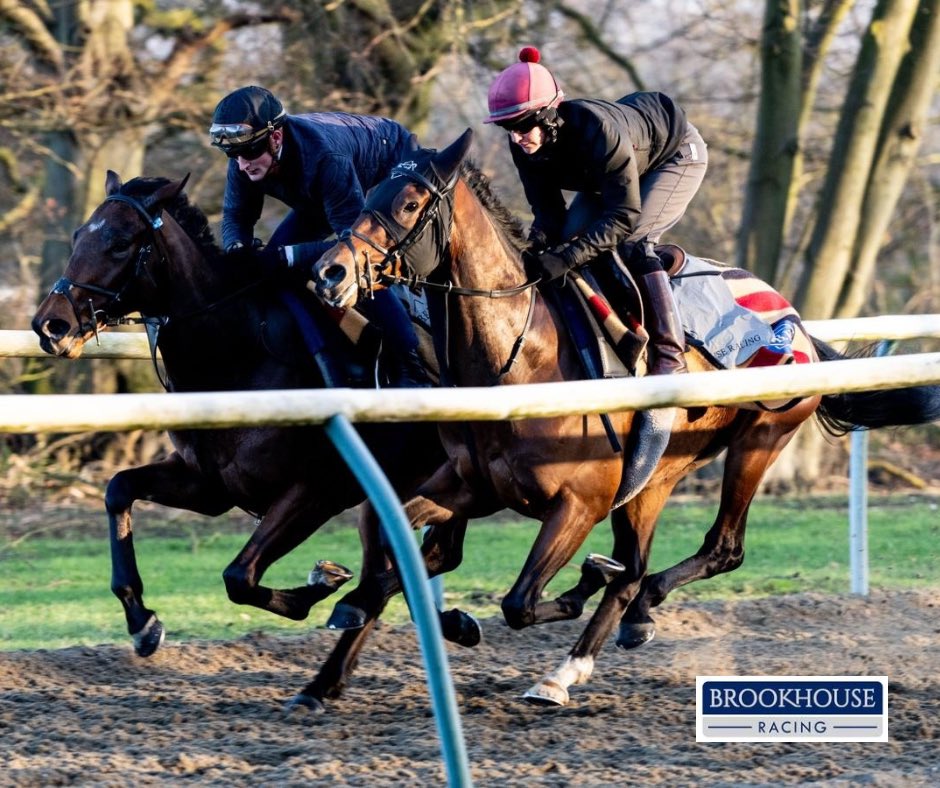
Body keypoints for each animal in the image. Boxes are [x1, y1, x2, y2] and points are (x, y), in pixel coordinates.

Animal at [29, 172, 478, 700]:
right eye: (79, 235)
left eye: (120, 242)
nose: (50, 324)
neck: (237, 352)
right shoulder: (210, 485)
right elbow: (119, 488)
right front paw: (141, 621)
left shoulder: (317, 490)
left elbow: (238, 576)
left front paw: (319, 585)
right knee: (412, 561)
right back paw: (336, 676)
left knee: (427, 557)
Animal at [312, 131, 940, 708]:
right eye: (371, 192)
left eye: (409, 203)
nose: (328, 272)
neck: (523, 357)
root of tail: (797, 322)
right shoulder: (472, 485)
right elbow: (388, 535)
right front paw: (352, 600)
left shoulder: (578, 504)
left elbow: (519, 602)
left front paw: (575, 585)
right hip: (653, 477)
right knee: (637, 564)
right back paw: (580, 655)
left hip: (757, 442)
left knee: (715, 550)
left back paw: (619, 623)